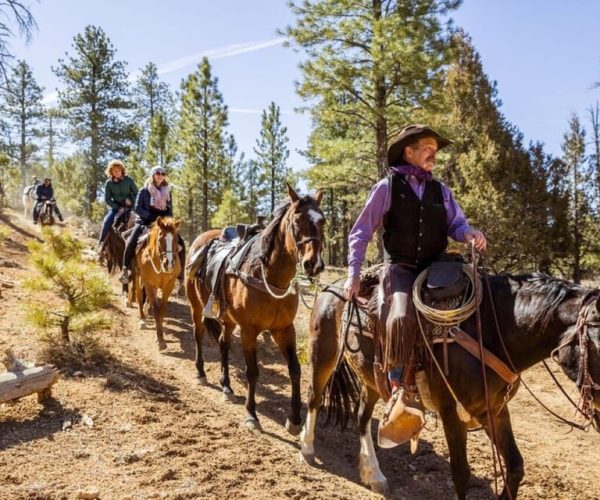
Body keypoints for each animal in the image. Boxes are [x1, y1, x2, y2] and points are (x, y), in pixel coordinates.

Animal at [188, 188, 326, 434]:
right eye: (296, 220)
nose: (314, 264)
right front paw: (252, 414)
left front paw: (294, 419)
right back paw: (201, 372)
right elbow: (252, 372)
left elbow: (295, 370)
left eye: (323, 221)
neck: (269, 277)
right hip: (196, 306)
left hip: (228, 318)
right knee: (198, 334)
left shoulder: (284, 329)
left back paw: (226, 386)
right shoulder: (249, 331)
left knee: (223, 343)